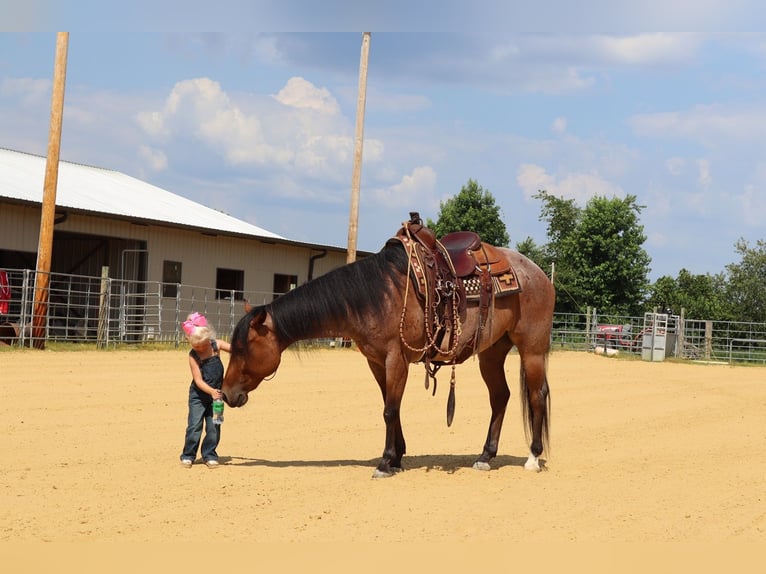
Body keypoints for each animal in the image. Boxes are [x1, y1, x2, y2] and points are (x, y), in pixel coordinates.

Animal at [225, 216, 556, 476]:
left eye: (243, 348)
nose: (226, 394)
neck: (377, 295)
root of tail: (538, 273)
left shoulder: (396, 359)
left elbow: (389, 409)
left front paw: (385, 463)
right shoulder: (376, 362)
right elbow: (389, 406)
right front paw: (397, 457)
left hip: (532, 349)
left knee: (537, 396)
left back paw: (532, 457)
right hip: (492, 353)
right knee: (500, 397)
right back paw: (485, 456)